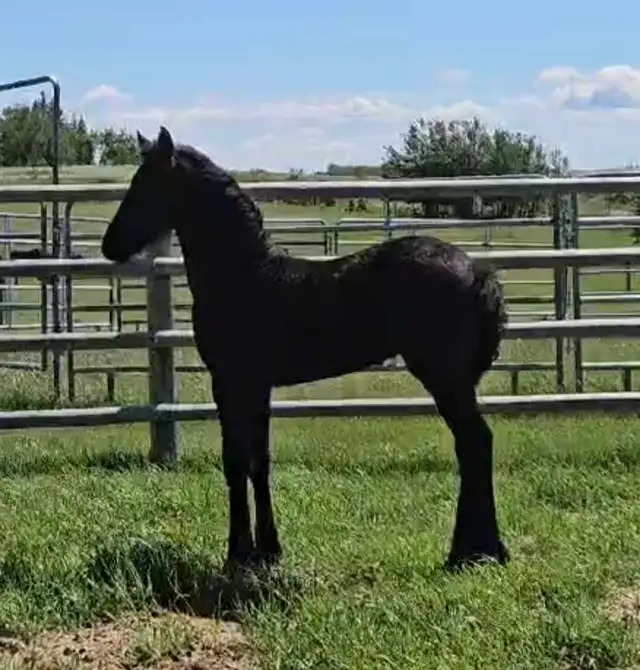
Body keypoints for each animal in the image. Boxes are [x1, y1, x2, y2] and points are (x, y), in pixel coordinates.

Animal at [100, 126, 510, 572]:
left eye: (148, 184)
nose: (109, 245)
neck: (242, 275)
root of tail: (478, 272)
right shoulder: (256, 387)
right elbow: (259, 460)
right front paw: (268, 550)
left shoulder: (230, 383)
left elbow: (235, 460)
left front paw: (237, 553)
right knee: (473, 447)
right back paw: (480, 549)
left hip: (445, 379)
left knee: (475, 444)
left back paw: (472, 552)